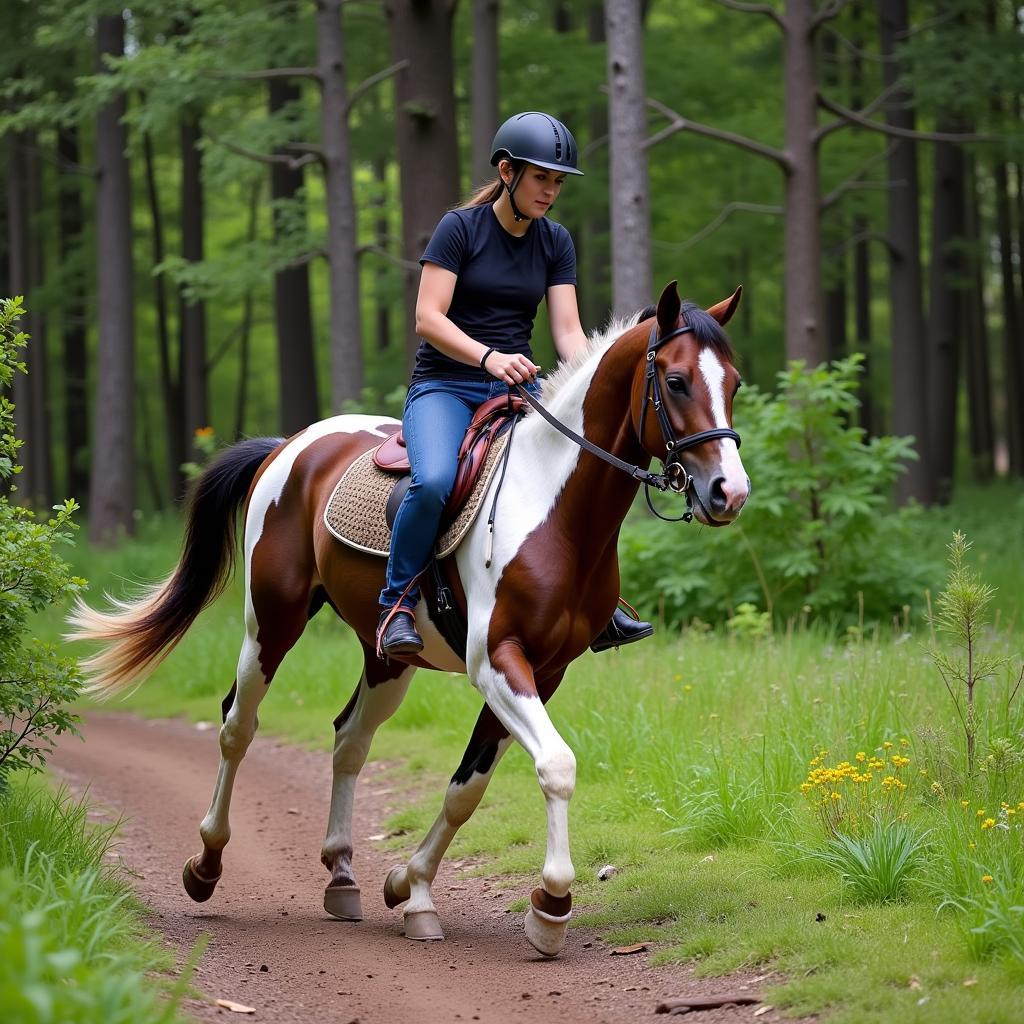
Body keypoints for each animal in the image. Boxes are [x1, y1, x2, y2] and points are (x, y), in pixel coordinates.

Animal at [66, 276, 753, 954]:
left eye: (735, 383)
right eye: (676, 380)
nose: (730, 493)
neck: (553, 511)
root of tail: (291, 445)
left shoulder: (544, 671)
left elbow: (467, 788)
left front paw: (410, 888)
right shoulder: (497, 662)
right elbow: (556, 766)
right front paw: (552, 906)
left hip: (387, 657)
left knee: (349, 738)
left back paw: (342, 876)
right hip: (272, 622)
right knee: (238, 724)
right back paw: (206, 865)